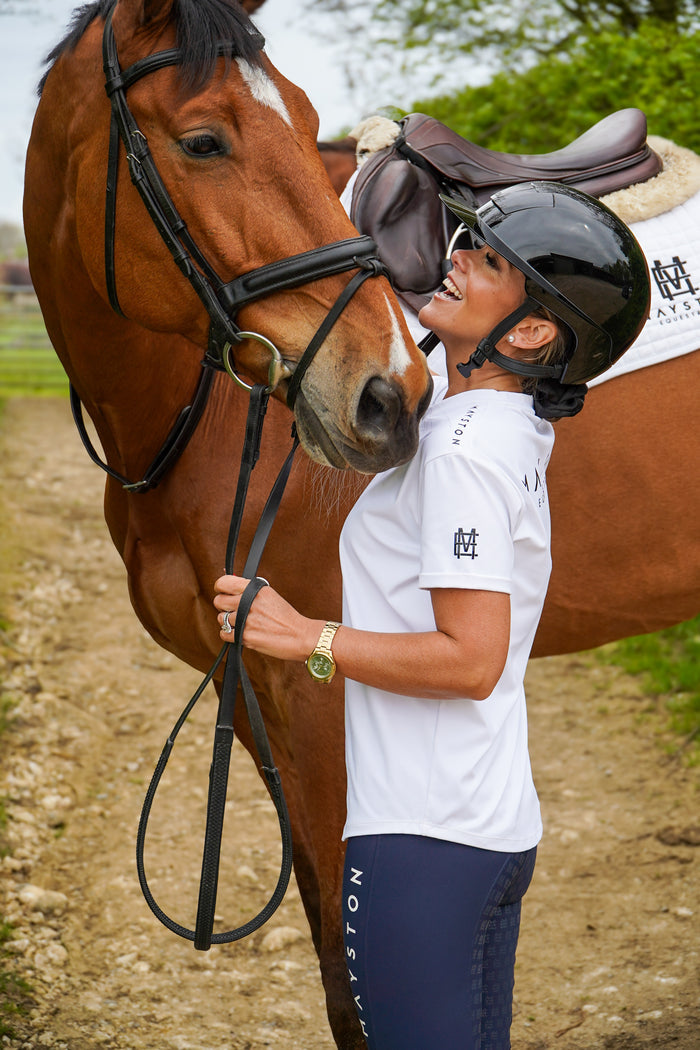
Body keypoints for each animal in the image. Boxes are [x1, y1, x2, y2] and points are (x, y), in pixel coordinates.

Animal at [23, 3, 430, 1048]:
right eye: (204, 141)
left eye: (310, 119)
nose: (395, 395)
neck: (196, 416)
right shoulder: (249, 696)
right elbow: (334, 953)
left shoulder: (332, 699)